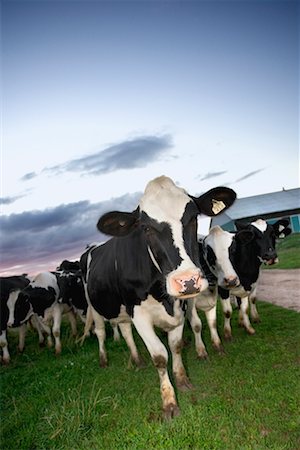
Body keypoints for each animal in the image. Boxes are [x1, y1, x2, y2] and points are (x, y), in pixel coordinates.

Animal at [81, 176, 237, 418]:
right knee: (100, 332)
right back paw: (103, 359)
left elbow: (176, 346)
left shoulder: (181, 307)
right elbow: (160, 356)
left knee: (125, 330)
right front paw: (169, 402)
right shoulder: (139, 314)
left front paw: (182, 381)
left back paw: (137, 360)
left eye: (194, 218)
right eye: (145, 228)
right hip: (95, 306)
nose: (187, 280)